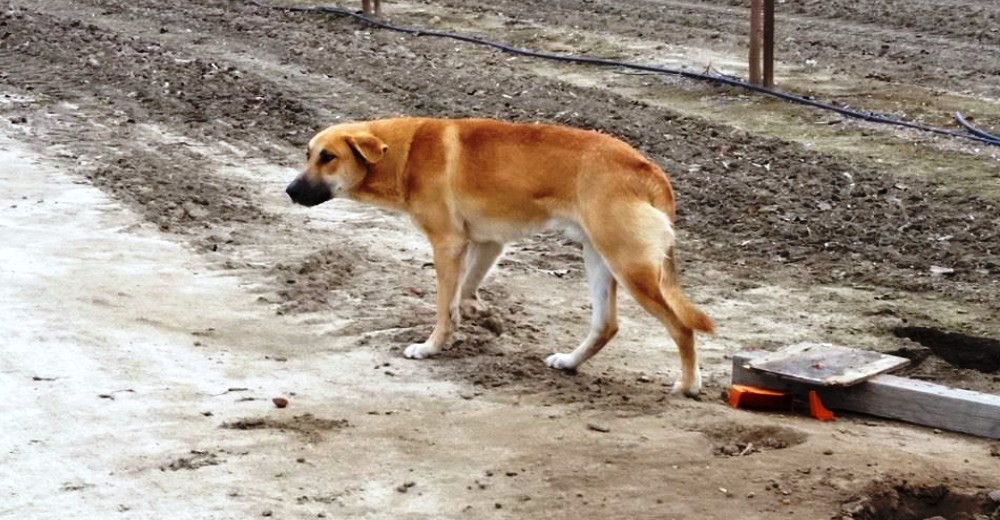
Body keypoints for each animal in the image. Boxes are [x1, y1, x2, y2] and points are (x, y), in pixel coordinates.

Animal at [286, 117, 716, 394]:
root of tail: (648, 169)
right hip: (599, 259)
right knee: (606, 326)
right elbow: (463, 293)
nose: (289, 190)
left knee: (681, 327)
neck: (406, 152)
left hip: (629, 267)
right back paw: (569, 362)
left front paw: (432, 346)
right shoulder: (486, 243)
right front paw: (476, 317)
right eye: (308, 154)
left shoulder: (447, 244)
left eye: (327, 157)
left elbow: (443, 305)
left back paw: (688, 384)